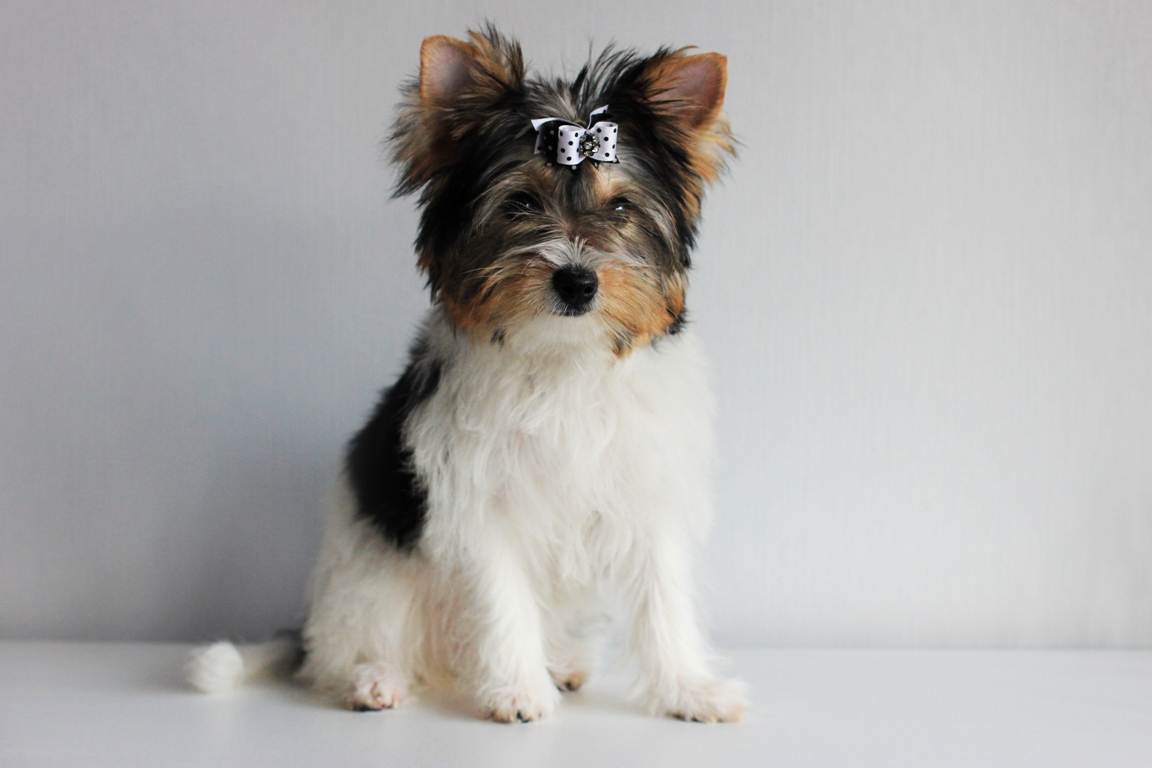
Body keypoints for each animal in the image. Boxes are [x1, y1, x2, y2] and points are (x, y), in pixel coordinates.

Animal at [188, 25, 744, 724]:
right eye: (520, 202)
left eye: (620, 210)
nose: (577, 281)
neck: (562, 356)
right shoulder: (479, 495)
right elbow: (500, 592)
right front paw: (517, 692)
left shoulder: (646, 483)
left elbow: (663, 594)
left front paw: (688, 689)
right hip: (370, 576)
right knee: (349, 645)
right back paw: (374, 678)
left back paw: (561, 663)